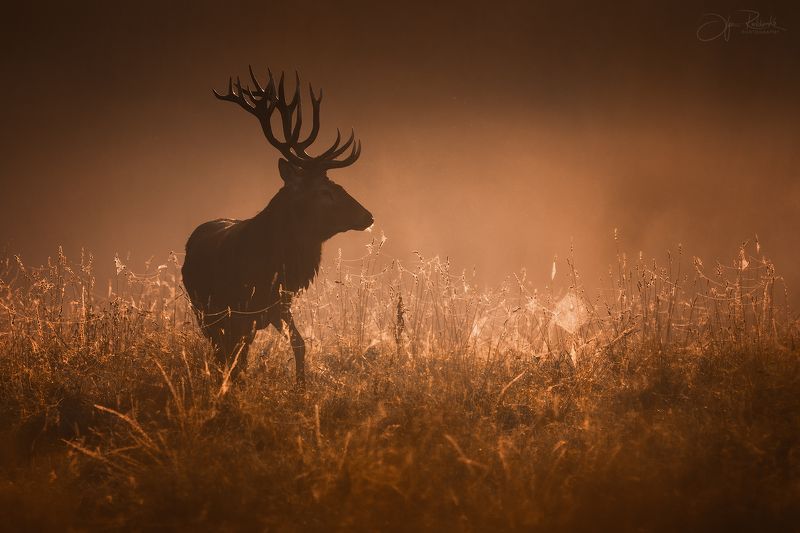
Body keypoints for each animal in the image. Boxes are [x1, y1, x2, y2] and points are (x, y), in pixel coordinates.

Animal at [181, 66, 373, 384]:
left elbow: (299, 343)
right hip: (204, 310)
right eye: (325, 191)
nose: (368, 216)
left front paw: (301, 385)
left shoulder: (279, 305)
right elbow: (238, 355)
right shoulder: (238, 310)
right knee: (222, 350)